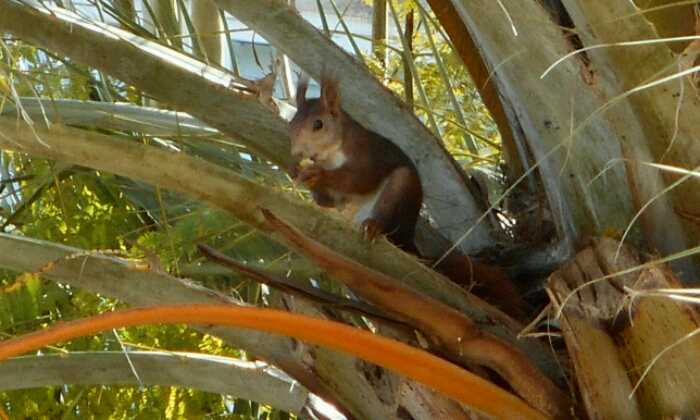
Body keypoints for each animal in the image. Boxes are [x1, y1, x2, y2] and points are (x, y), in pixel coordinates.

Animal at [288, 75, 524, 320]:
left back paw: (373, 227)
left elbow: (360, 179)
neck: (333, 153)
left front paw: (317, 174)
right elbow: (326, 202)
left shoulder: (369, 155)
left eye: (318, 124)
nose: (296, 152)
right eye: (290, 124)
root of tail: (410, 244)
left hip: (400, 191)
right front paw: (302, 175)